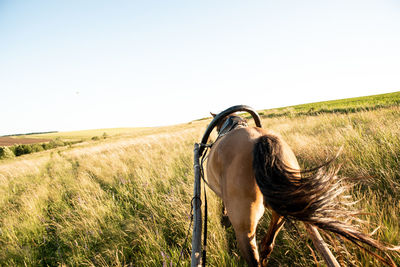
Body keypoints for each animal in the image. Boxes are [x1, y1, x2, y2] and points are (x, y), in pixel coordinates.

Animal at [205, 113, 398, 267]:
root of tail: (260, 140)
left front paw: (224, 218)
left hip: (245, 228)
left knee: (254, 256)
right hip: (280, 210)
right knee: (267, 245)